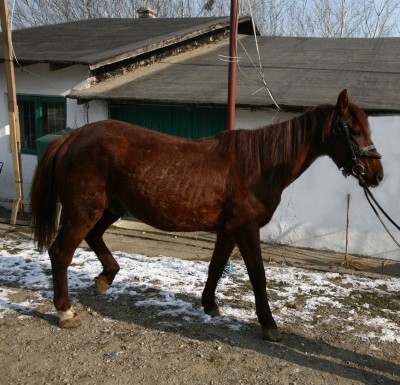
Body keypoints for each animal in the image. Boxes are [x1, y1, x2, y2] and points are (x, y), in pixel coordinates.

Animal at [30, 89, 382, 340]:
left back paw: (106, 278)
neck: (258, 166)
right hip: (83, 211)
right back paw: (65, 311)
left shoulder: (228, 230)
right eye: (353, 130)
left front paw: (210, 305)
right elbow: (257, 275)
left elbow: (216, 267)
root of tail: (71, 138)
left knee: (94, 237)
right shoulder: (246, 229)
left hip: (110, 208)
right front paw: (268, 324)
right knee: (61, 253)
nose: (376, 175)